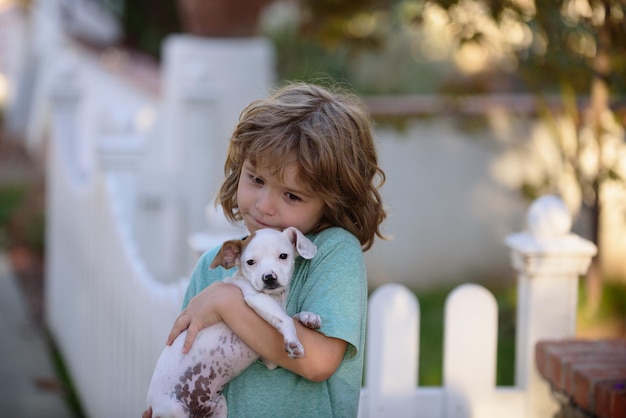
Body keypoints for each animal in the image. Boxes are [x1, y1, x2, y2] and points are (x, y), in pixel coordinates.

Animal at [145, 229, 316, 418]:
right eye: (250, 262)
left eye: (283, 256)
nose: (269, 277)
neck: (276, 298)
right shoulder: (256, 299)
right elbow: (286, 318)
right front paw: (293, 342)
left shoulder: (270, 360)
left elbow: (290, 316)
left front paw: (308, 317)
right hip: (175, 410)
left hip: (219, 406)